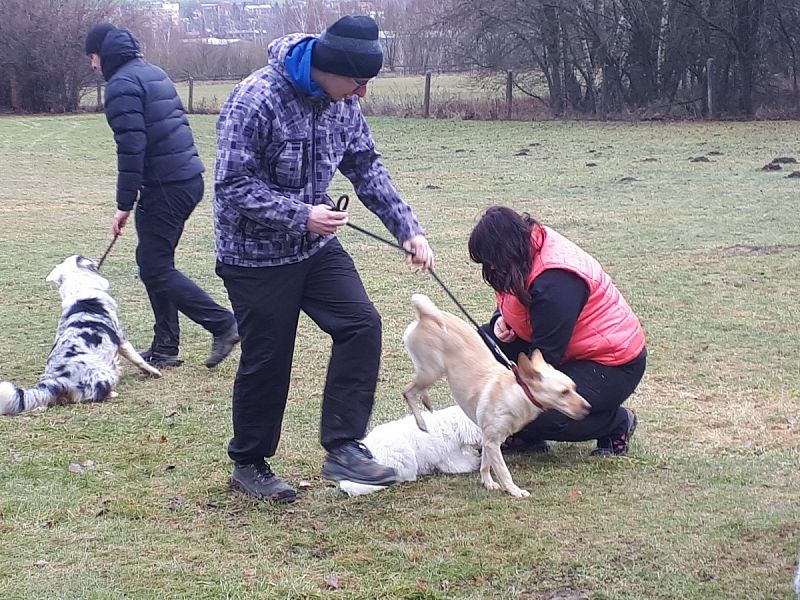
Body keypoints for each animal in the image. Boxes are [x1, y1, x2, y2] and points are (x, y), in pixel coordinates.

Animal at [0, 254, 162, 418]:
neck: (79, 290)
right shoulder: (121, 339)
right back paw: (112, 393)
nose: (96, 260)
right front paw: (153, 372)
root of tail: (57, 380)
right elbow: (137, 358)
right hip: (106, 373)